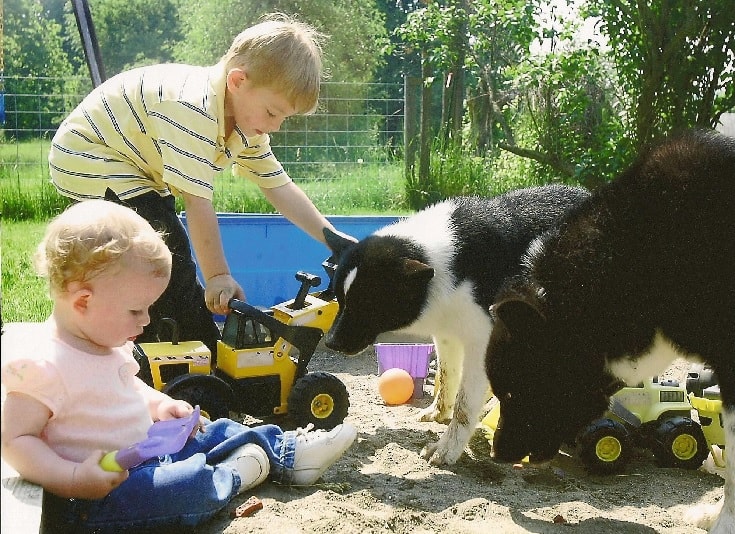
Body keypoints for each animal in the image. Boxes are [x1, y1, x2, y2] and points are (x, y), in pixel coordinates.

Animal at [324, 186, 588, 466]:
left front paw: (447, 449)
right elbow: (447, 376)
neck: (445, 265)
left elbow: (464, 404)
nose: (330, 342)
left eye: (368, 306)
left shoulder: (481, 343)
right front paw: (439, 413)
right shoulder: (447, 334)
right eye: (340, 298)